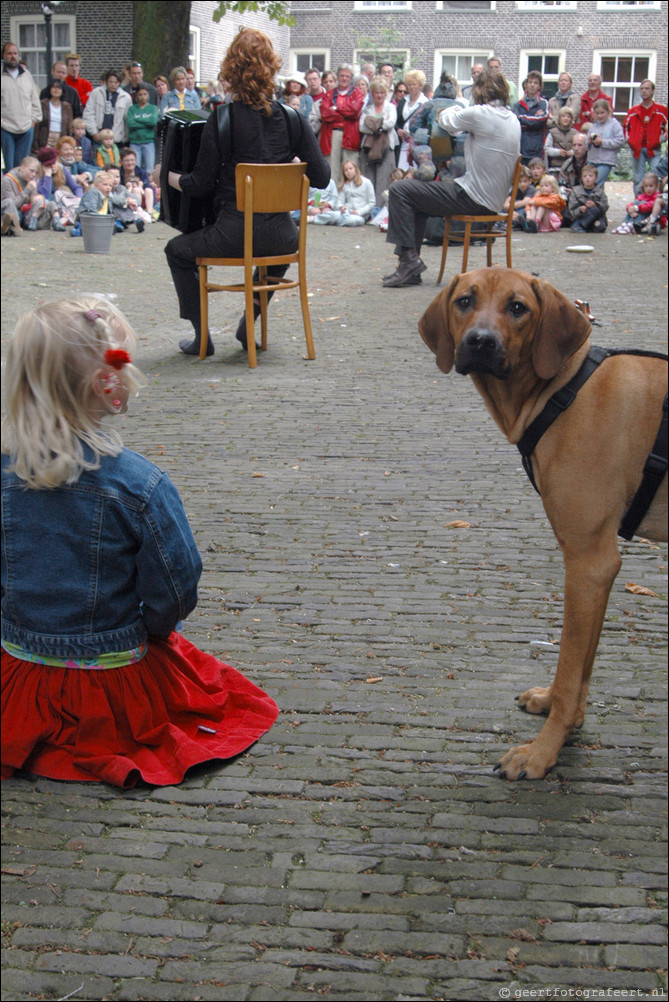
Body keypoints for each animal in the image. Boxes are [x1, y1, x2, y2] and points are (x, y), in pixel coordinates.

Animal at [420, 268, 664, 781]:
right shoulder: (595, 568)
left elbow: (570, 664)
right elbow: (582, 663)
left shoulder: (590, 560)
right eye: (465, 301)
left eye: (518, 308)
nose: (480, 342)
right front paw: (561, 715)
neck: (562, 392)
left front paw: (541, 754)